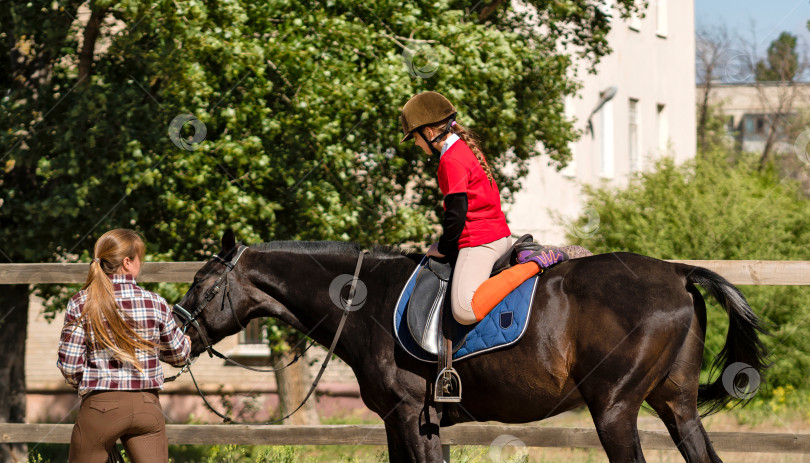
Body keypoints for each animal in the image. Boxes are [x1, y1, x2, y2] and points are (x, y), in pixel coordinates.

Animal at [174, 232, 768, 463]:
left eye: (203, 284)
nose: (175, 335)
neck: (366, 303)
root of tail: (678, 275)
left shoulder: (409, 415)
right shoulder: (410, 421)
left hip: (615, 408)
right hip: (676, 405)